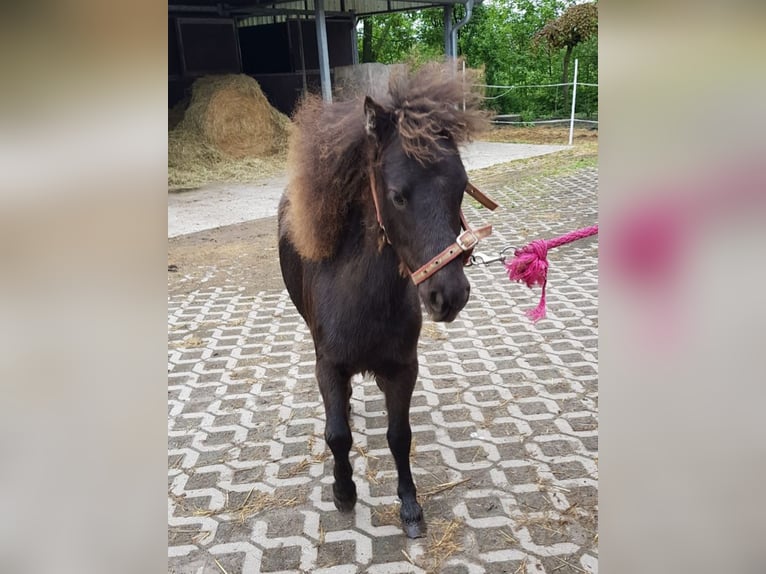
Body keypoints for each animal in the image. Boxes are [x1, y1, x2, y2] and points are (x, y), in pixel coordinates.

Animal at [277, 62, 489, 538]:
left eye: (461, 188)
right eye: (397, 195)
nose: (449, 296)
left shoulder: (403, 368)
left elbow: (399, 436)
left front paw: (410, 506)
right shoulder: (328, 364)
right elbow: (337, 435)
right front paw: (343, 492)